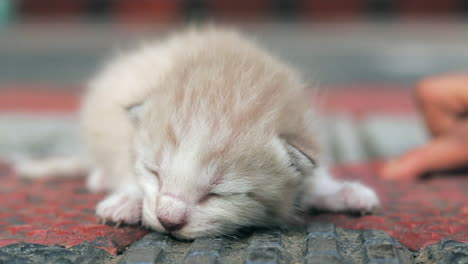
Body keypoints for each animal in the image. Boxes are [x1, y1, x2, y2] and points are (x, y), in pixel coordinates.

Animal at [30, 27, 380, 239]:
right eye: (154, 172)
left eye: (219, 193)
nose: (168, 220)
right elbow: (125, 161)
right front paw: (126, 198)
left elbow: (314, 175)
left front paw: (339, 192)